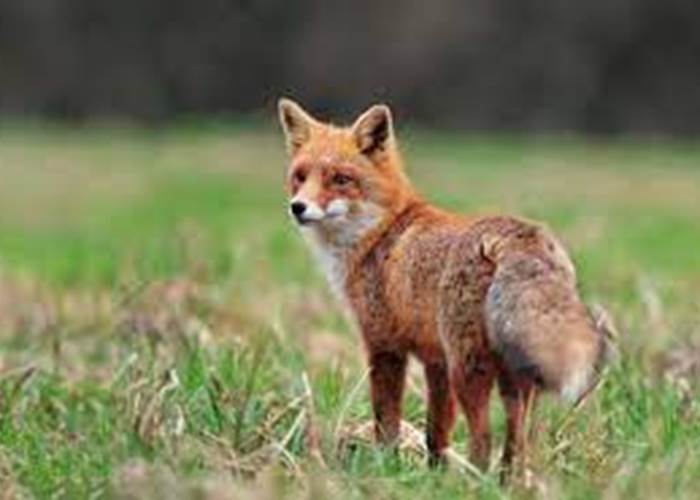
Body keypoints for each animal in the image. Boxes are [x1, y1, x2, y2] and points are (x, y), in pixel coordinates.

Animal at [277, 98, 614, 475]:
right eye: (300, 176)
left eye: (340, 179)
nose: (298, 207)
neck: (380, 234)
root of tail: (519, 234)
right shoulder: (434, 359)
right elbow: (436, 431)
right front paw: (433, 474)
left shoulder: (385, 346)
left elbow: (386, 422)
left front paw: (385, 468)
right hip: (511, 377)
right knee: (517, 441)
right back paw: (508, 481)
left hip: (467, 370)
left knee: (484, 438)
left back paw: (476, 481)